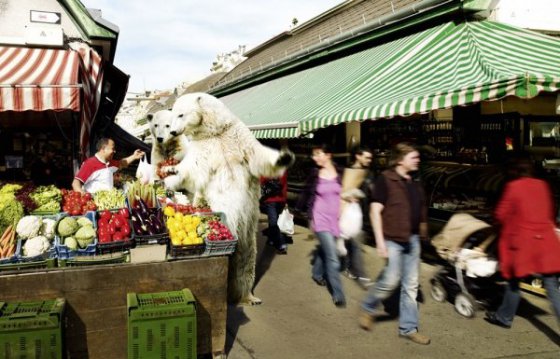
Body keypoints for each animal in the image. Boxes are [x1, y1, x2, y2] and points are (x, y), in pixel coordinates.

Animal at [162, 93, 296, 306]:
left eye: (180, 114)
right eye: (172, 115)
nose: (174, 131)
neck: (215, 130)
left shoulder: (238, 136)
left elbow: (258, 157)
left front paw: (284, 157)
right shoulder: (204, 148)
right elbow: (192, 169)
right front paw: (170, 171)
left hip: (248, 231)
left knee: (246, 262)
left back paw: (249, 297)